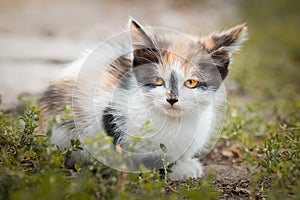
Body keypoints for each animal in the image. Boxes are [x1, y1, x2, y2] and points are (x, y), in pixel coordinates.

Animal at [39, 17, 246, 180]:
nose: (172, 99)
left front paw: (183, 163)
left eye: (191, 82)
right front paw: (177, 169)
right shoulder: (109, 115)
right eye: (157, 80)